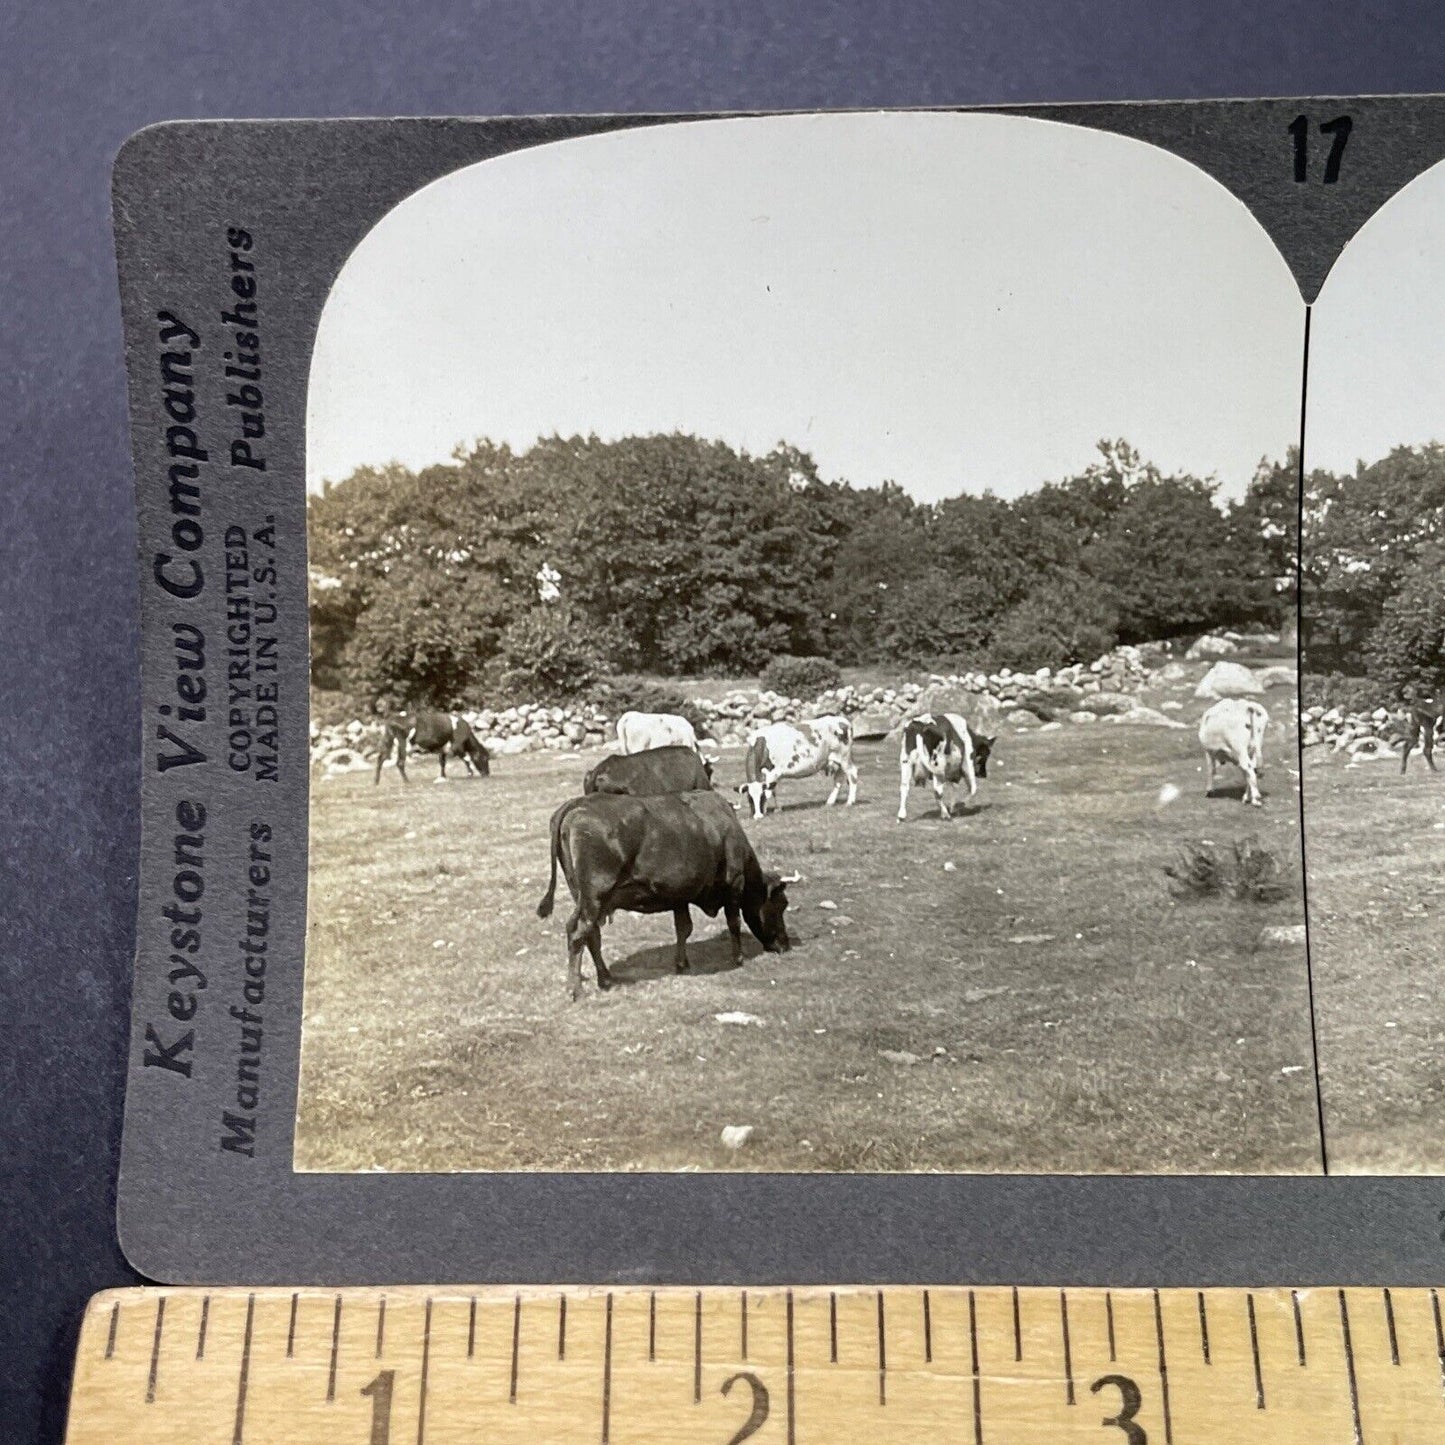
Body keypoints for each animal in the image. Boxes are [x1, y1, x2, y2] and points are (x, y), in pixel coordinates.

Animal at [540, 791, 797, 1005]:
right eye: (781, 904)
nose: (785, 945)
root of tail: (577, 803)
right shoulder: (734, 883)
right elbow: (733, 922)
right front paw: (739, 957)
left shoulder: (679, 895)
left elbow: (683, 927)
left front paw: (681, 963)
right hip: (595, 896)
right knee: (578, 933)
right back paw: (575, 990)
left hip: (585, 898)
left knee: (591, 935)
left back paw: (605, 978)